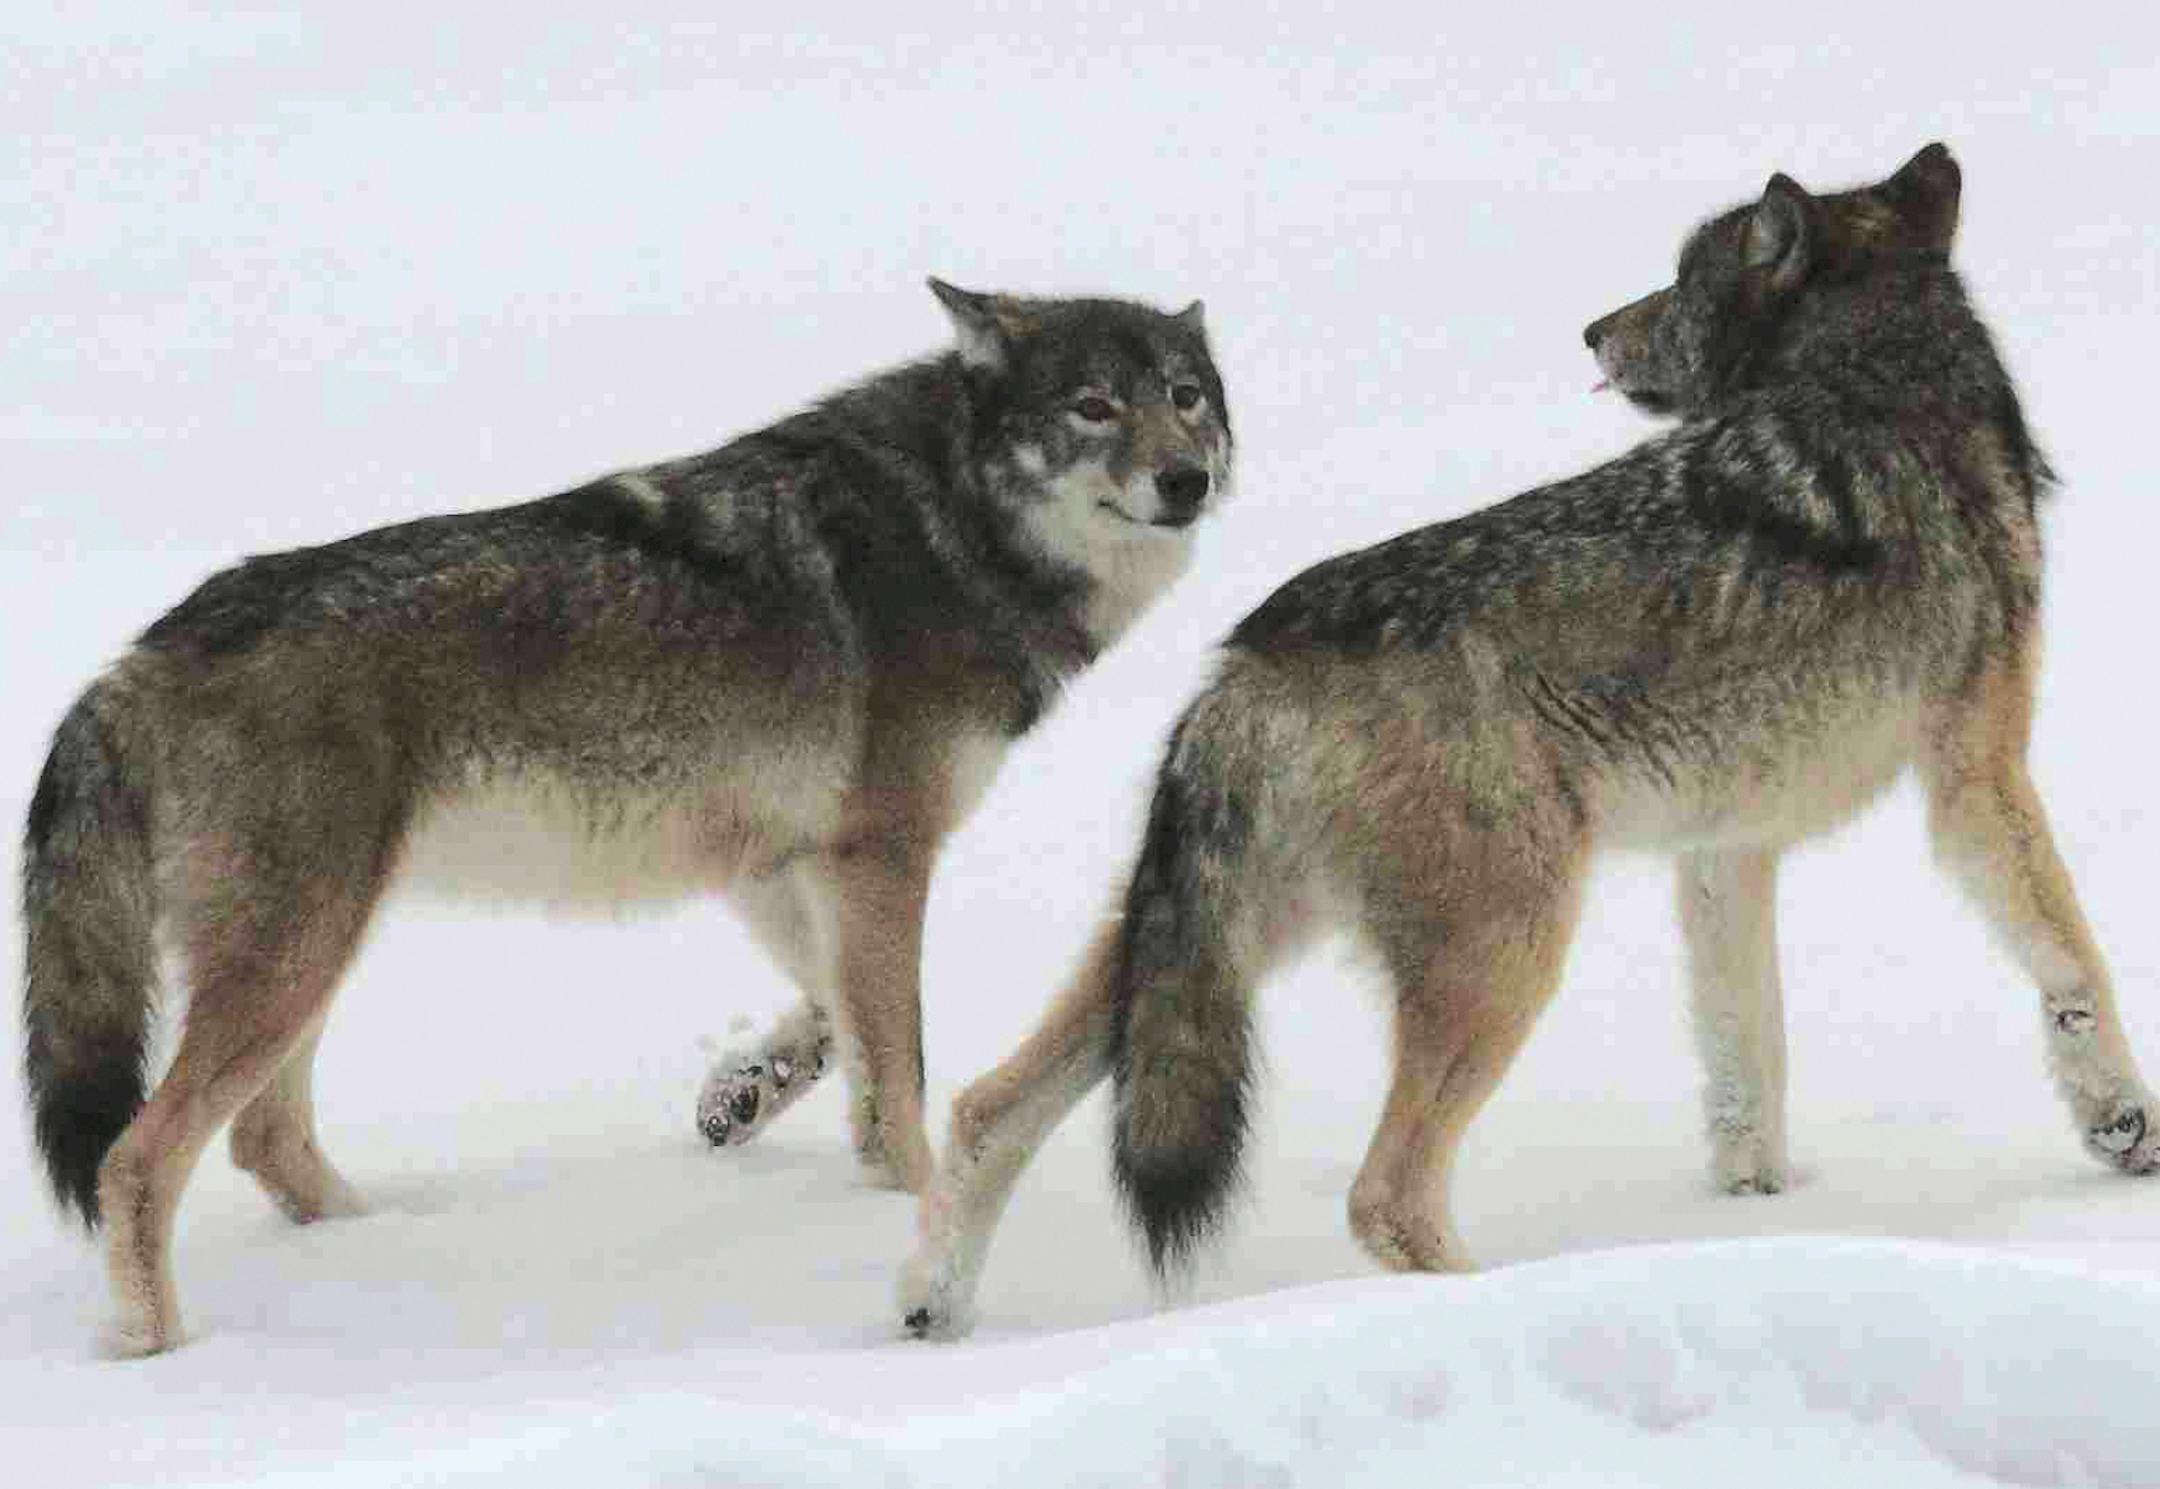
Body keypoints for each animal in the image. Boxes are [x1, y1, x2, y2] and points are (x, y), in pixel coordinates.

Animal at [21, 279, 1233, 1355]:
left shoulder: (775, 861)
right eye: (1092, 405)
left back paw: (389, 1251)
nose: (1187, 479)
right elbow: (902, 1069)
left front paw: (744, 1097)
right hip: (298, 954)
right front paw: (909, 1213)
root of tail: (131, 662)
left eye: (1185, 395)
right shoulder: (883, 853)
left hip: (316, 952)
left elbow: (834, 1018)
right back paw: (159, 1345)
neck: (952, 521)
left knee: (265, 1141)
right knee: (138, 1158)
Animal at [898, 143, 2153, 1338]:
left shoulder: (1726, 851)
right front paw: (2123, 1125)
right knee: (1385, 1197)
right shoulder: (1975, 776)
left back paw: (931, 1307)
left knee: (986, 1105)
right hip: (1512, 951)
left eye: (1678, 279)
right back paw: (1511, 1304)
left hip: (1196, 956)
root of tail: (1248, 659)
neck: (1881, 376)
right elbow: (2073, 958)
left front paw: (1759, 1212)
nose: (1594, 327)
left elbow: (1749, 1063)